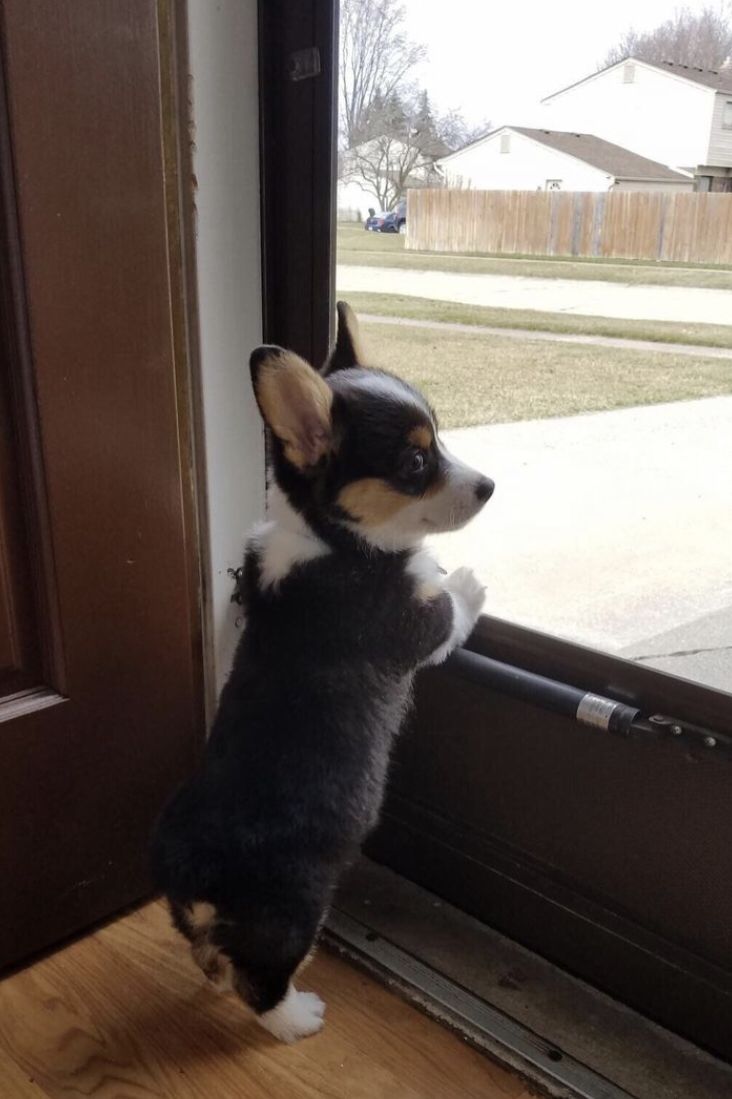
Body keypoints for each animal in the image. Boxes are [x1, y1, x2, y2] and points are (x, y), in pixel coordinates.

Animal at [153, 305, 496, 1041]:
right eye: (415, 462)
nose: (490, 486)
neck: (329, 536)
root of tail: (190, 874)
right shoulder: (415, 626)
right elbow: (449, 608)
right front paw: (468, 579)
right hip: (294, 910)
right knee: (260, 980)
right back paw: (298, 1018)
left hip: (216, 924)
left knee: (211, 954)